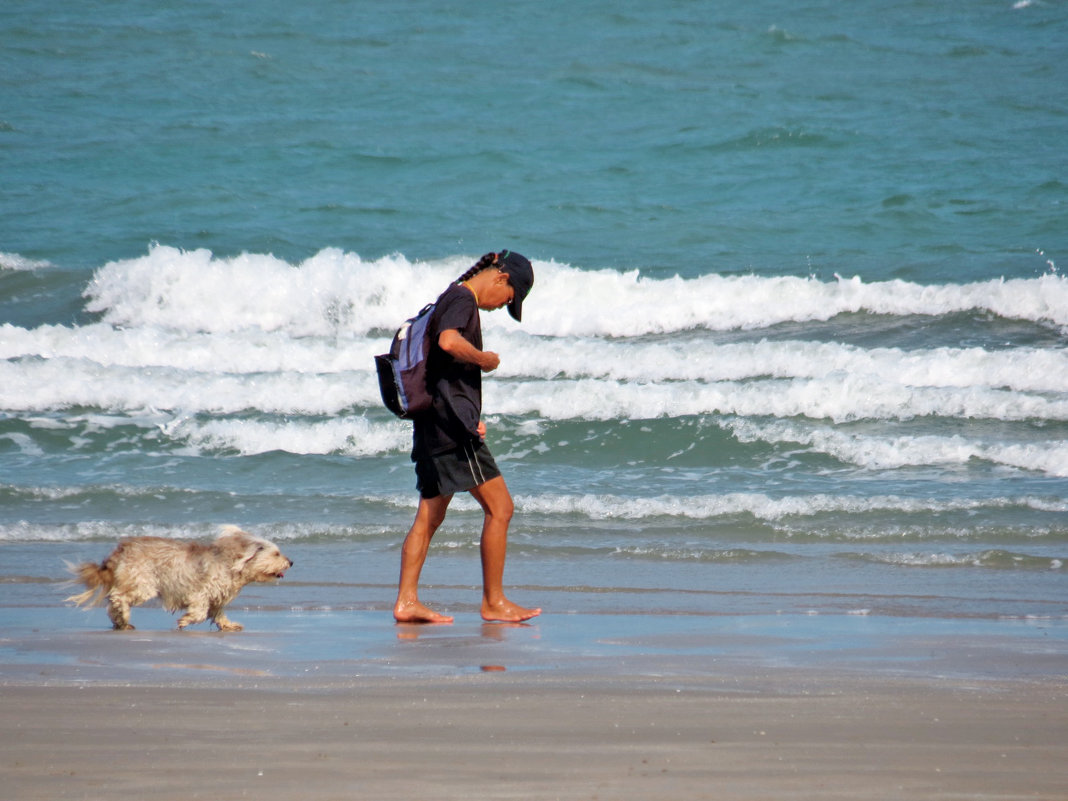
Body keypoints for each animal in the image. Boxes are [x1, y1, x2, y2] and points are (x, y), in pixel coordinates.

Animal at [66, 527, 292, 632]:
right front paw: (186, 620)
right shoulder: (201, 593)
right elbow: (199, 612)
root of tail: (121, 549)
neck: (232, 564)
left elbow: (218, 614)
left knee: (112, 604)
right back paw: (124, 616)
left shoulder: (217, 599)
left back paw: (122, 622)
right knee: (118, 597)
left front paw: (229, 625)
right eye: (276, 554)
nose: (291, 562)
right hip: (143, 584)